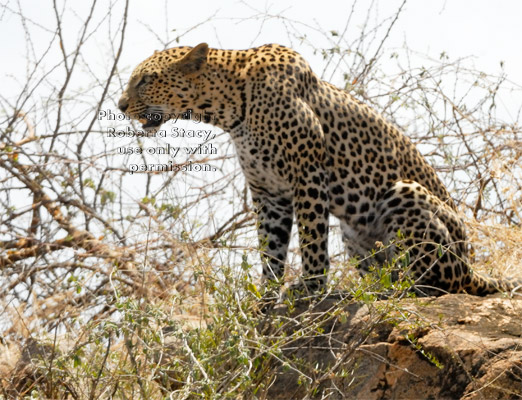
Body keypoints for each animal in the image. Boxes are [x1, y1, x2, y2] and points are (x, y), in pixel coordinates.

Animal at [118, 43, 520, 296]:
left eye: (145, 80)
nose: (120, 105)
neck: (231, 110)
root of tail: (472, 266)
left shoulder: (307, 175)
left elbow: (311, 238)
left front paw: (310, 287)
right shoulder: (268, 193)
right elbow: (271, 248)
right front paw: (265, 298)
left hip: (405, 193)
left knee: (439, 284)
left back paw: (398, 289)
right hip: (355, 233)